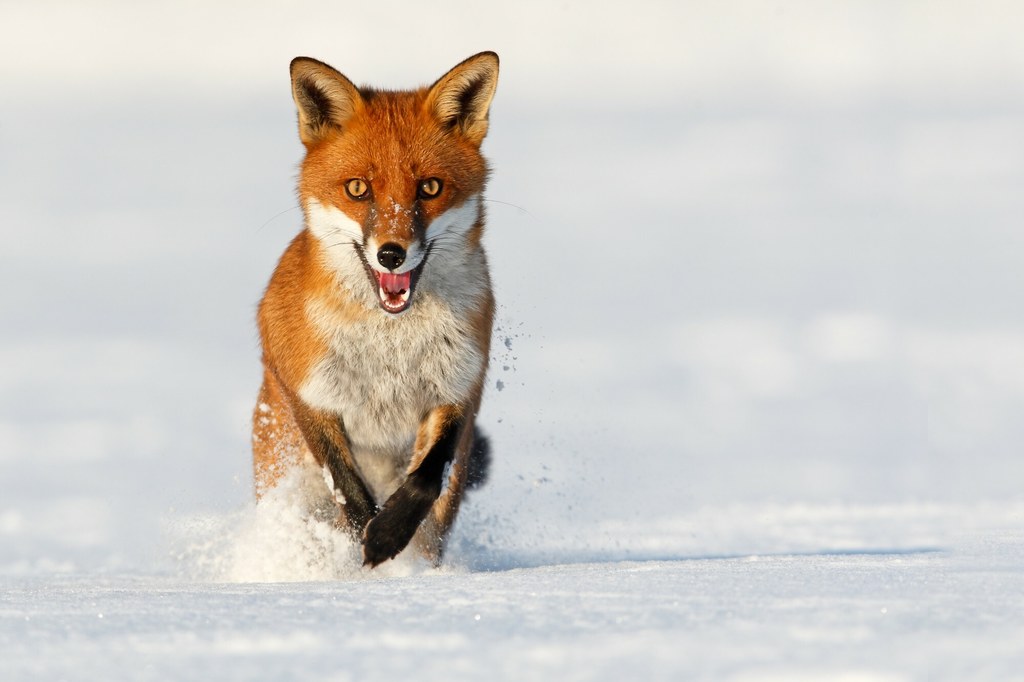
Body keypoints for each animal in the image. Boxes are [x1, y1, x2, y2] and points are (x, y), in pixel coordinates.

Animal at [251, 51, 499, 561]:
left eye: (429, 188)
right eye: (358, 189)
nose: (391, 254)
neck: (390, 345)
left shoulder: (459, 387)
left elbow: (426, 477)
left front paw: (388, 534)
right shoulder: (311, 393)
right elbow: (347, 487)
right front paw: (366, 541)